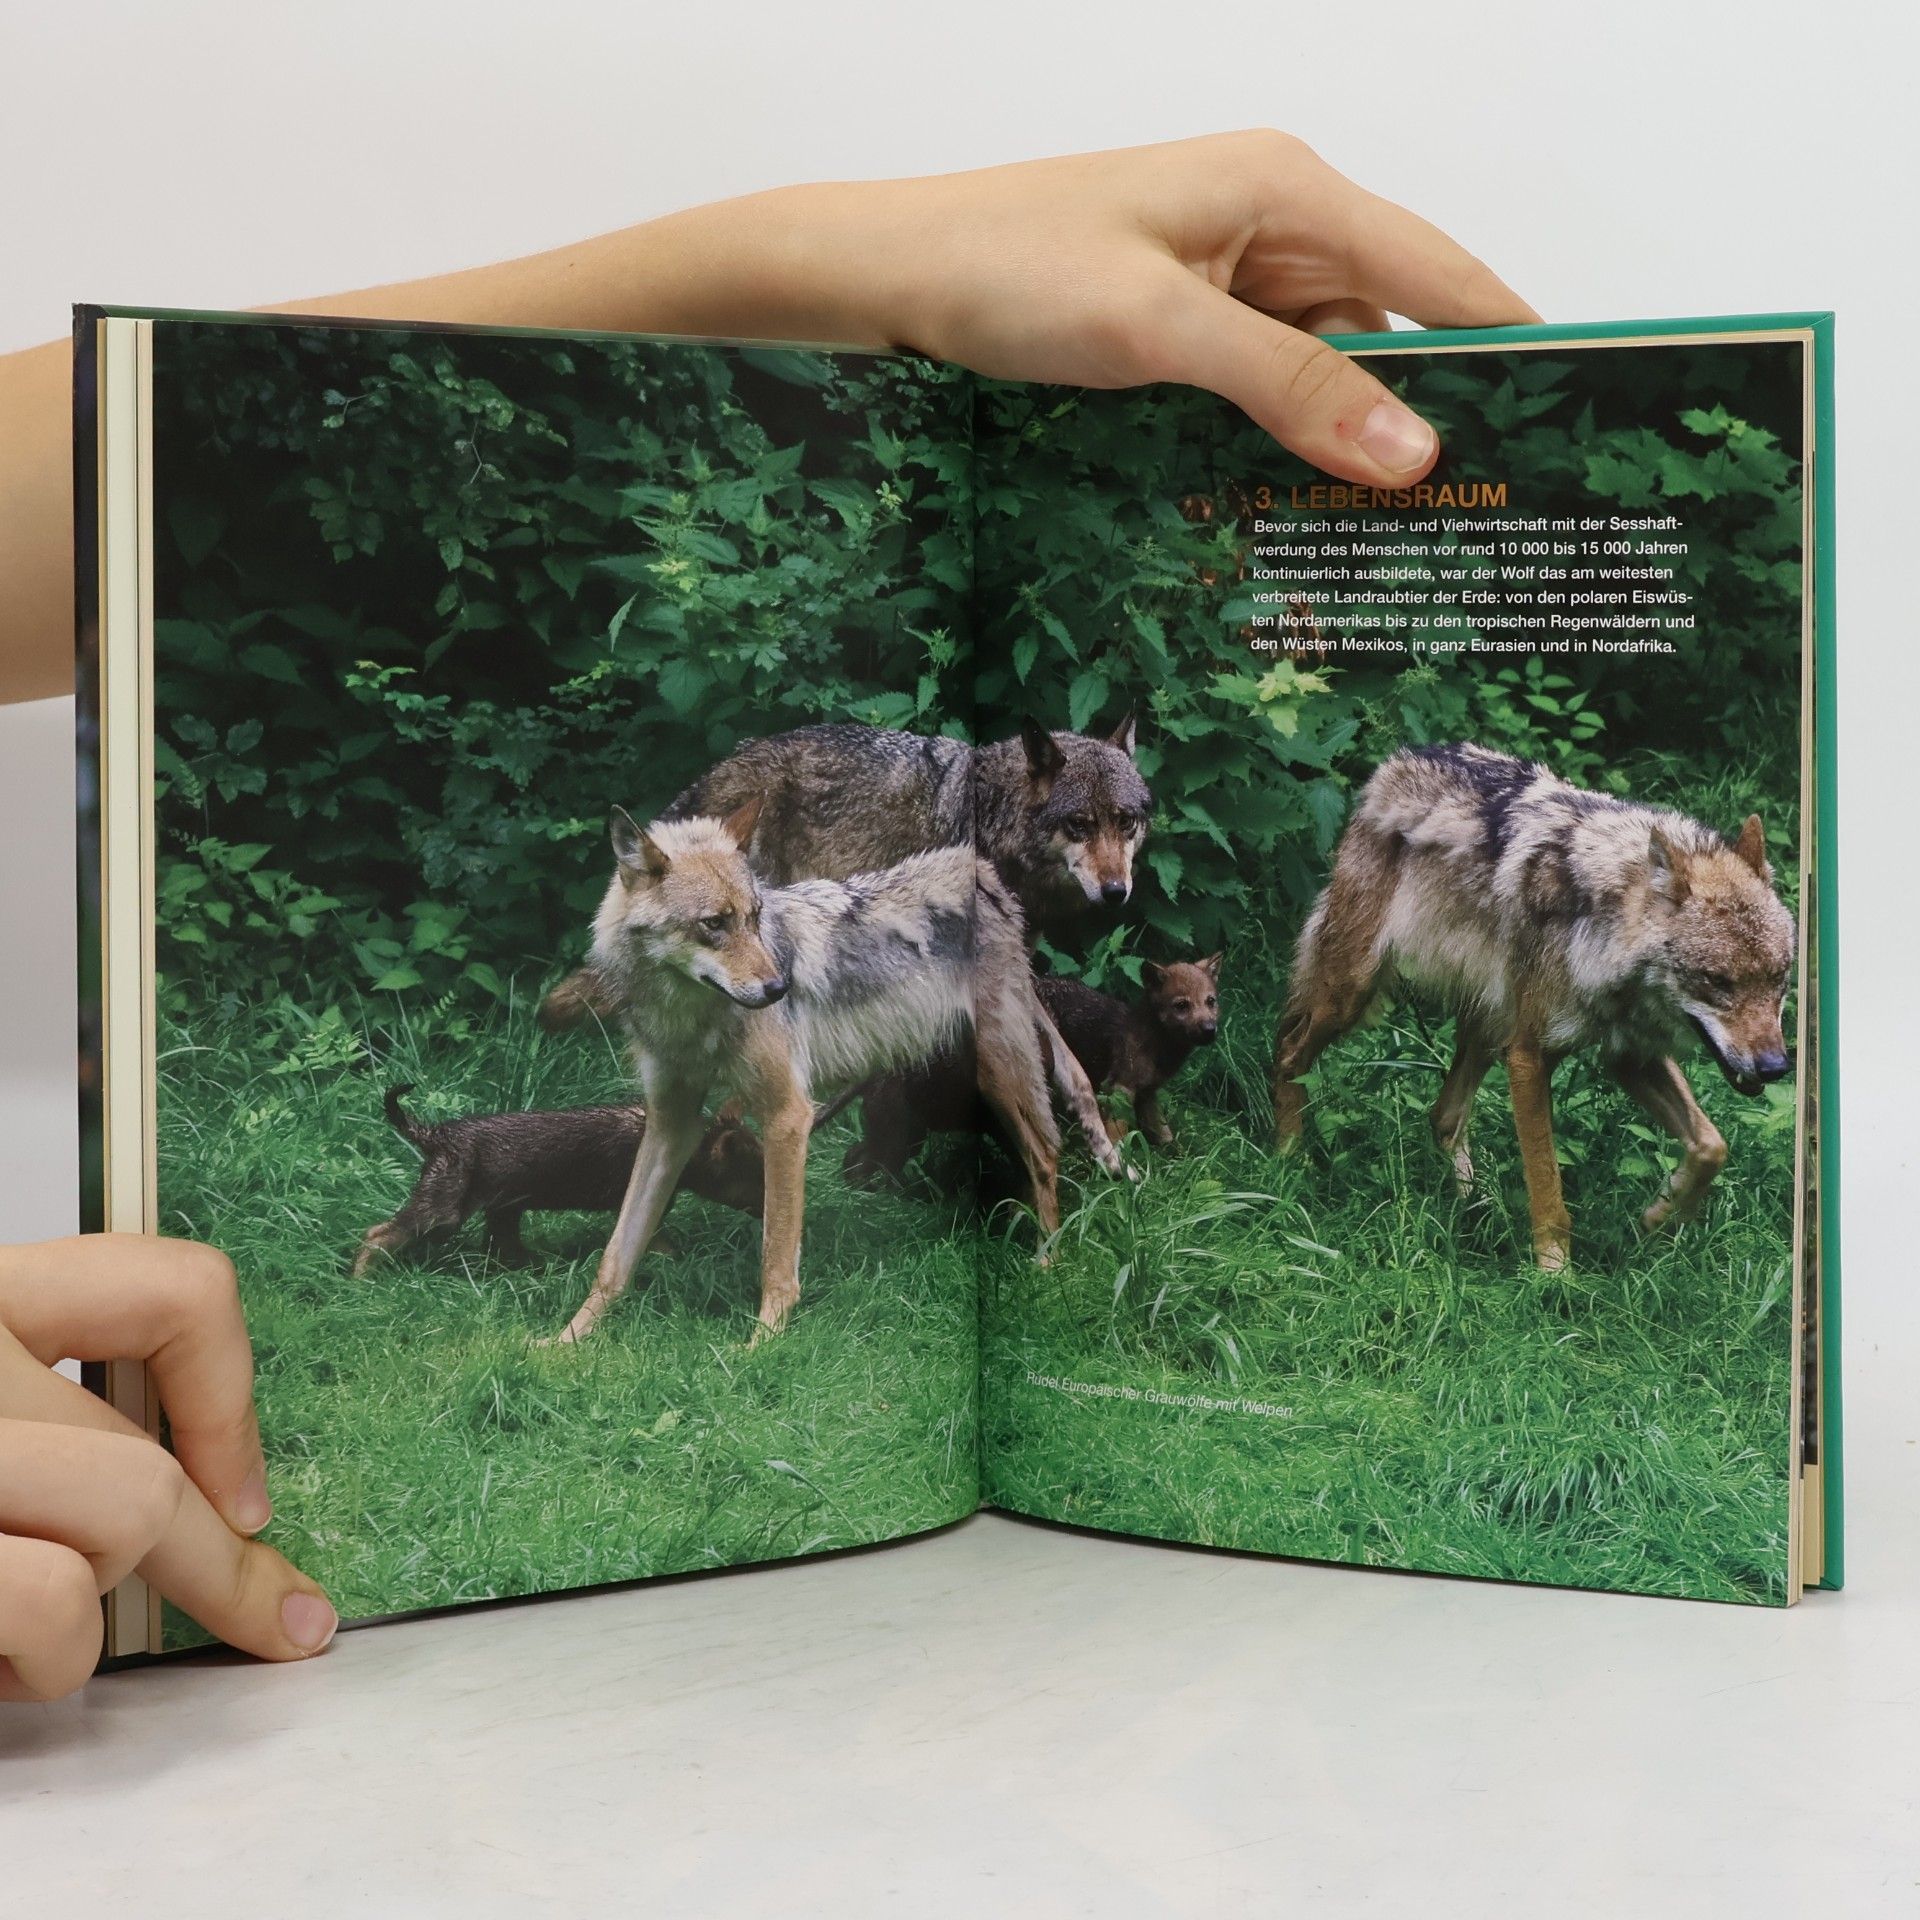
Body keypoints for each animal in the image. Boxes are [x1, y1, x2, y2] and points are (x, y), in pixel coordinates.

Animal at [548, 796, 1067, 1343]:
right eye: (714, 924)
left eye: (755, 917)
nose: (780, 988)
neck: (689, 1019)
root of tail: (985, 872)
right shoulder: (672, 1123)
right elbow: (617, 1252)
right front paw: (566, 1340)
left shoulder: (787, 1116)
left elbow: (775, 1254)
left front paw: (763, 1342)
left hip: (1001, 1078)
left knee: (1046, 1154)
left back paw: (1048, 1267)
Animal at [1272, 743, 1795, 1269]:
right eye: (1717, 981)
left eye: (1779, 978)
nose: (1775, 1067)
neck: (1598, 922)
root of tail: (1401, 758)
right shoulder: (1528, 1055)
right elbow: (1547, 1186)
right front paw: (1554, 1273)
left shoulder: (1628, 1056)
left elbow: (1712, 1146)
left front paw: (1662, 1219)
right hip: (1351, 995)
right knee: (1288, 1051)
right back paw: (1289, 1161)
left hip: (1486, 1024)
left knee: (1443, 1116)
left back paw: (1477, 1209)